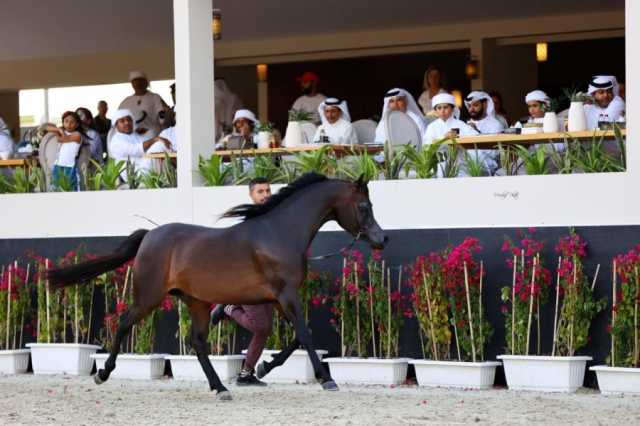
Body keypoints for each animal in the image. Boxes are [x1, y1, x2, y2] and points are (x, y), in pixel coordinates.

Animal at [47, 172, 388, 400]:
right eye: (363, 206)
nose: (382, 238)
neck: (279, 232)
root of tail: (149, 236)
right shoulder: (286, 295)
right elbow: (305, 334)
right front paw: (326, 379)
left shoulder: (280, 298)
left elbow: (297, 337)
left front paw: (264, 368)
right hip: (148, 297)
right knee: (123, 324)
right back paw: (103, 374)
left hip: (195, 301)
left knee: (197, 342)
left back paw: (220, 387)